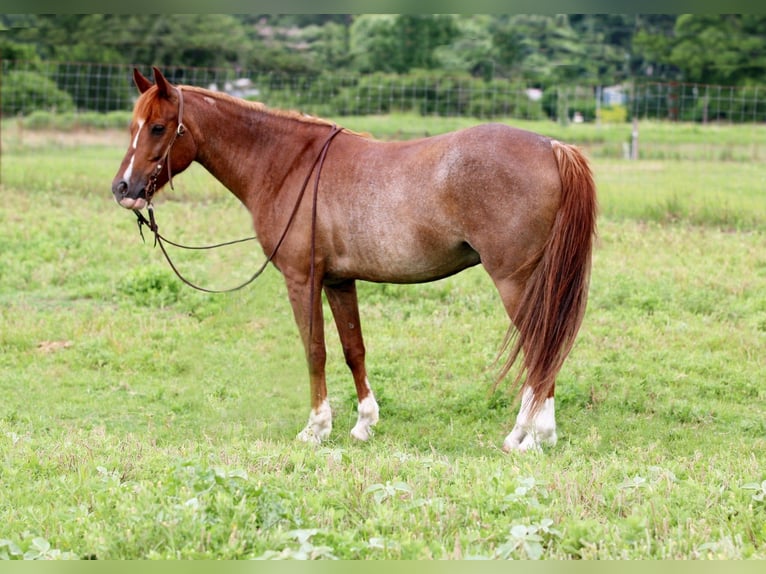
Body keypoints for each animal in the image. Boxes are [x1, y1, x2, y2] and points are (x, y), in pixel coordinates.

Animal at [111, 67, 597, 452]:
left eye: (158, 127)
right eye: (134, 125)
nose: (123, 188)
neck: (287, 164)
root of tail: (552, 147)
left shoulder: (302, 279)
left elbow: (315, 349)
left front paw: (315, 428)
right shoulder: (338, 280)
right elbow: (352, 349)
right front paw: (363, 424)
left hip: (517, 282)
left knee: (540, 347)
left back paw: (530, 436)